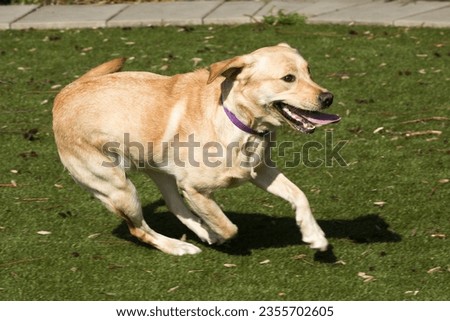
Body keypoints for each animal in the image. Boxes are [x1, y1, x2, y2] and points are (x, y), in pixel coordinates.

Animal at [52, 43, 340, 255]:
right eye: (288, 78)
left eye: (309, 72)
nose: (328, 97)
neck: (236, 120)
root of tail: (64, 93)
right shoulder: (195, 189)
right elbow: (228, 227)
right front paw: (216, 234)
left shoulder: (259, 171)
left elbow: (300, 195)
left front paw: (314, 235)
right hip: (118, 187)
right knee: (139, 229)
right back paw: (178, 246)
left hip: (160, 172)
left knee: (173, 205)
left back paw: (198, 233)